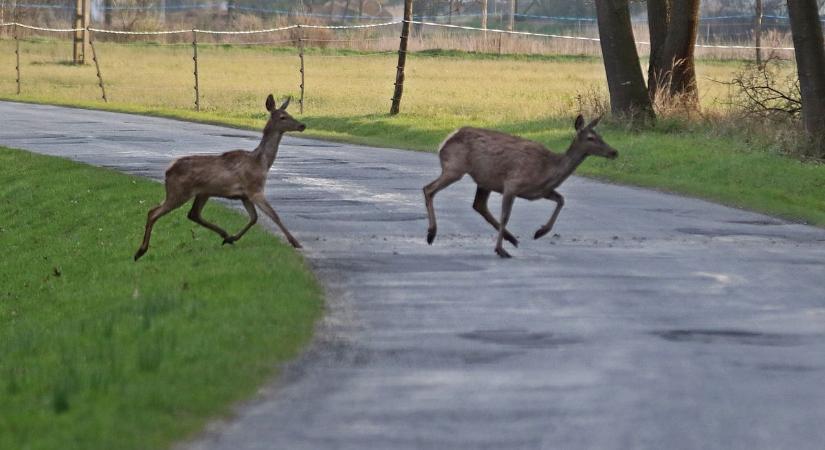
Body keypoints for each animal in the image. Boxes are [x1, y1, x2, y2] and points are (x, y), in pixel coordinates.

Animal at [134, 95, 304, 262]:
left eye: (289, 113)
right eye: (283, 117)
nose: (302, 125)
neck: (261, 162)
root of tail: (168, 171)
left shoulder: (244, 195)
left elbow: (254, 218)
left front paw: (233, 238)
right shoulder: (254, 189)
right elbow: (274, 215)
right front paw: (295, 242)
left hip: (202, 193)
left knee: (193, 214)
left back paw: (225, 235)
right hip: (179, 191)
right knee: (153, 212)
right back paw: (140, 252)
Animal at [422, 114, 616, 258]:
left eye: (601, 136)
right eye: (591, 138)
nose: (614, 152)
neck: (548, 169)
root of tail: (445, 141)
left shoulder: (540, 191)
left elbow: (561, 199)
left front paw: (540, 232)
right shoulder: (513, 184)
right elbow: (505, 216)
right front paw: (500, 250)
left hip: (484, 180)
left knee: (479, 205)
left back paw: (512, 238)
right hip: (455, 168)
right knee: (428, 189)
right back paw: (431, 234)